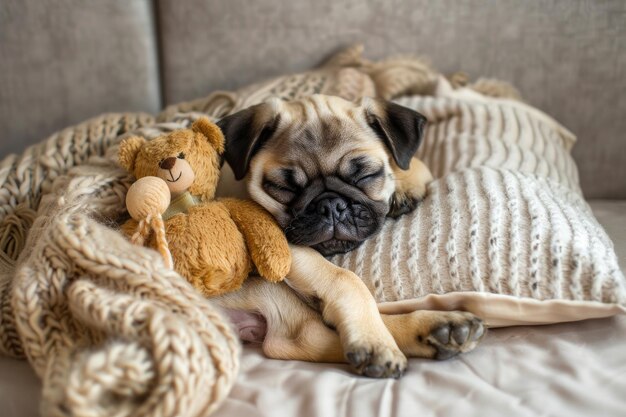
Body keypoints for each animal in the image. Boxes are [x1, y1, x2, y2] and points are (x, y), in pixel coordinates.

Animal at [211, 94, 482, 376]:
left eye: (366, 175)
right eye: (284, 187)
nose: (330, 205)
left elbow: (413, 162)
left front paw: (403, 185)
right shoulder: (276, 241)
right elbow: (345, 279)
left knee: (305, 338)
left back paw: (439, 329)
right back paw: (380, 342)